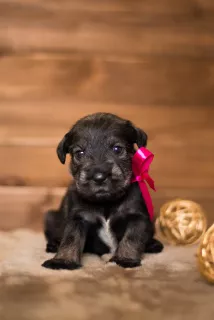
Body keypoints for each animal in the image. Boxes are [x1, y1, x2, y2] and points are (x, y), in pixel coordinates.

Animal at [41, 112, 163, 270]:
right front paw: (63, 261)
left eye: (117, 149)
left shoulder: (138, 217)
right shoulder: (78, 217)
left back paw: (153, 244)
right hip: (50, 217)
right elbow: (70, 239)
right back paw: (54, 245)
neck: (105, 201)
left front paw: (124, 259)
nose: (99, 177)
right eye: (79, 153)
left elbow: (131, 238)